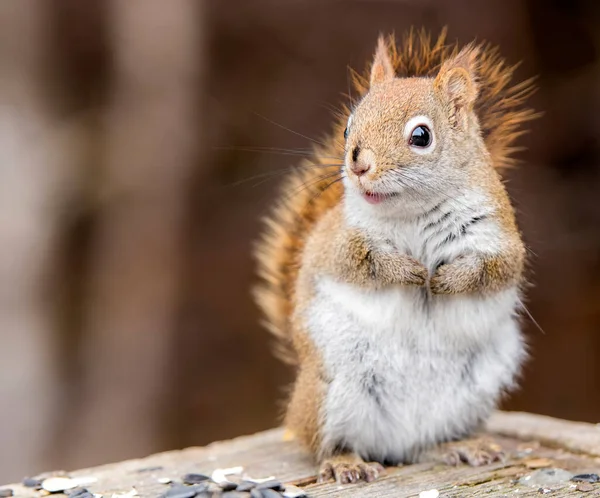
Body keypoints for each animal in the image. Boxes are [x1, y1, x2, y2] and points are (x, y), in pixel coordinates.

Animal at [255, 30, 536, 482]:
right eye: (347, 127)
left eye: (421, 136)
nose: (358, 165)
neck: (412, 212)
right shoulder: (337, 242)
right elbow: (360, 263)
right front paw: (407, 271)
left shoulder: (499, 236)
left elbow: (495, 270)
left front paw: (446, 280)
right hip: (330, 393)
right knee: (327, 444)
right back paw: (346, 463)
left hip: (473, 392)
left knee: (425, 444)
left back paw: (460, 446)